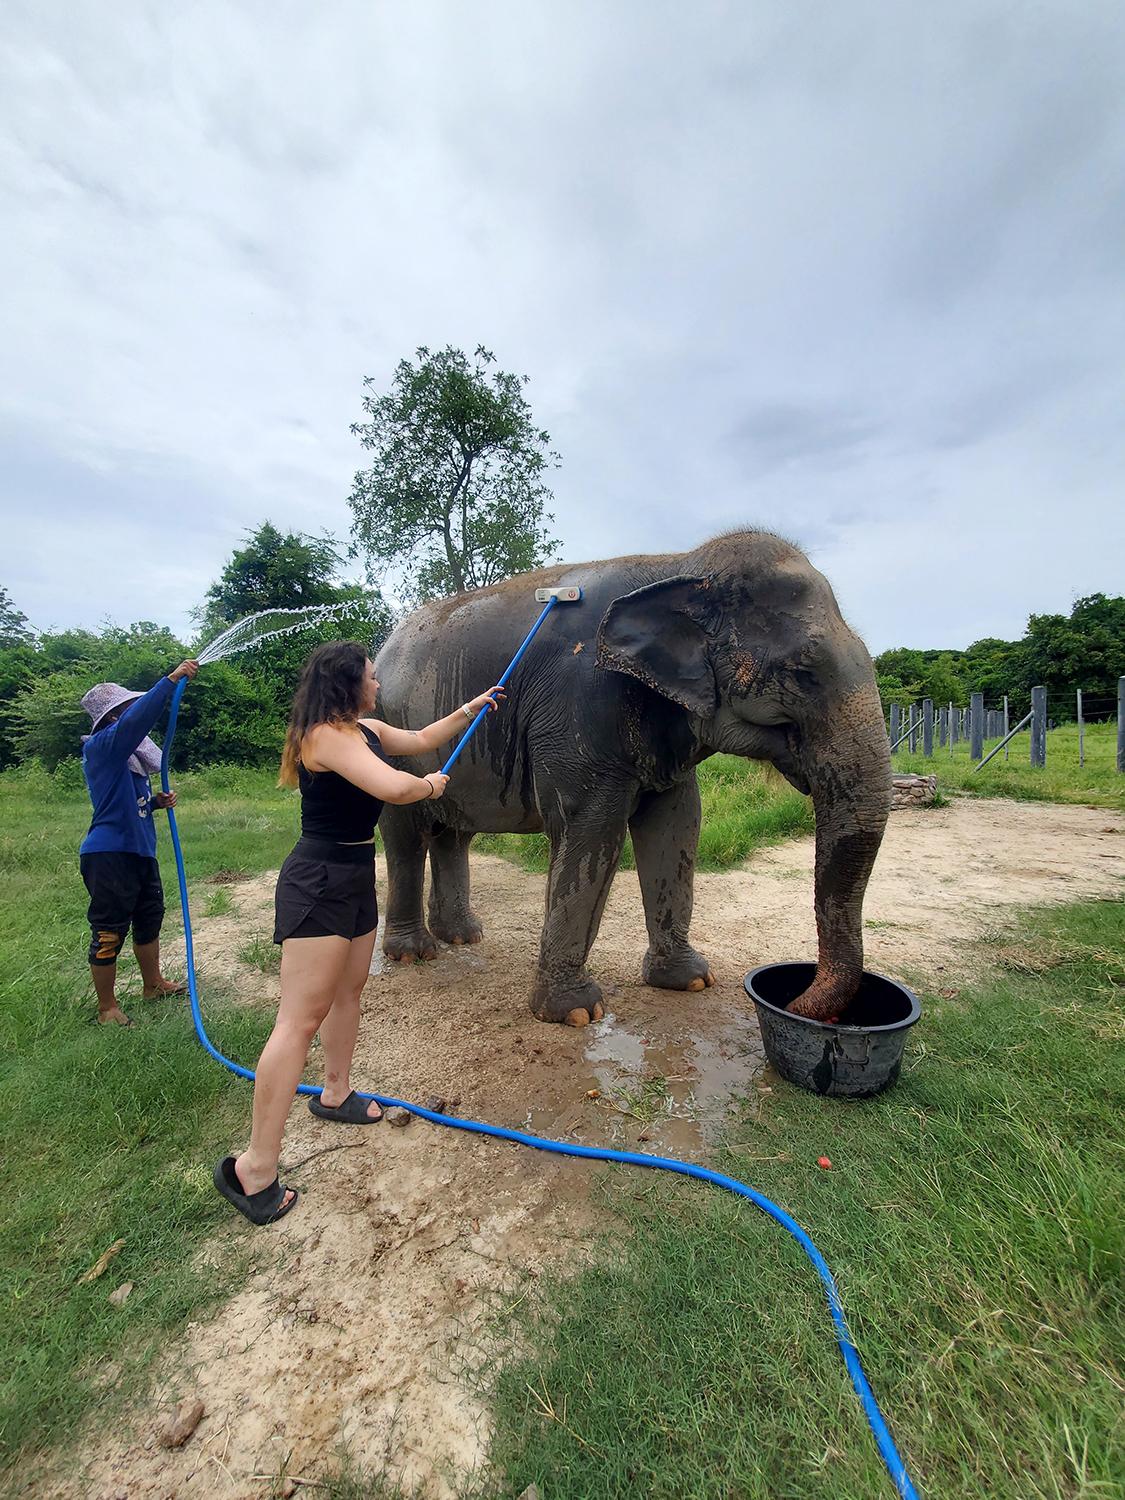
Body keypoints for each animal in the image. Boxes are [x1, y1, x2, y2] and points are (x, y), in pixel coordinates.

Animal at [373, 530, 891, 1026]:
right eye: (804, 672)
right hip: (389, 738)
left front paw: (691, 981)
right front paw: (574, 1014)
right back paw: (414, 953)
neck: (680, 565)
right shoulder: (578, 702)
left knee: (453, 833)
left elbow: (678, 823)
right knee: (405, 834)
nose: (795, 1003)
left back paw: (464, 936)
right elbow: (592, 827)